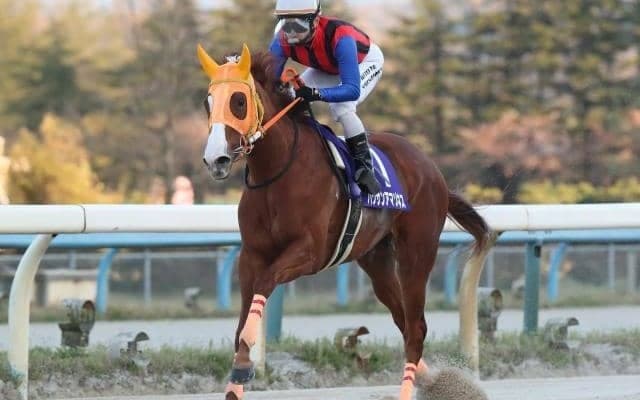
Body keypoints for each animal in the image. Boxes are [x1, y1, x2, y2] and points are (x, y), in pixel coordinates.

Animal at [196, 43, 490, 400]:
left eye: (239, 102)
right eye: (208, 102)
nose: (216, 159)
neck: (278, 173)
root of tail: (433, 170)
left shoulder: (310, 253)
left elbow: (264, 286)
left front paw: (243, 365)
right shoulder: (251, 254)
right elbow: (243, 313)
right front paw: (235, 380)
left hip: (417, 253)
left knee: (416, 327)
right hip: (376, 260)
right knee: (404, 322)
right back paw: (433, 380)